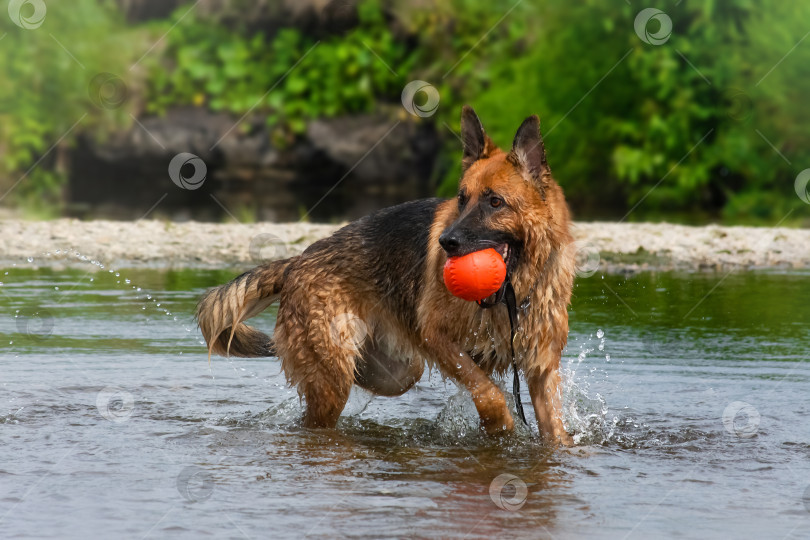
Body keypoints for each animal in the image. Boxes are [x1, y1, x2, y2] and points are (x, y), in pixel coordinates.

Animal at [196, 107, 576, 446]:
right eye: (461, 199)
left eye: (495, 202)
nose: (446, 243)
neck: (513, 292)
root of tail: (297, 262)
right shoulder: (435, 336)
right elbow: (488, 391)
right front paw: (499, 425)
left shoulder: (541, 370)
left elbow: (554, 431)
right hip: (336, 385)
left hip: (398, 373)